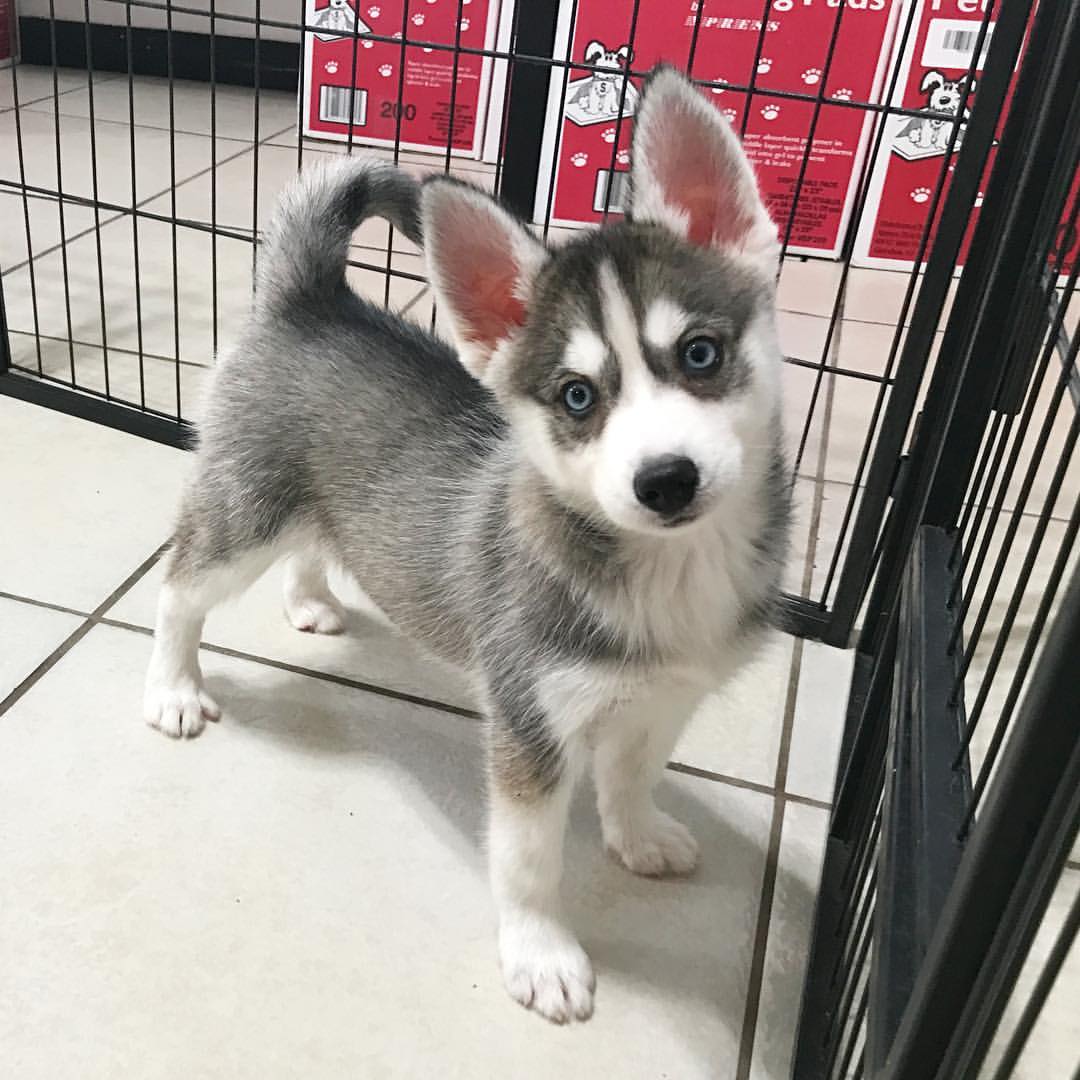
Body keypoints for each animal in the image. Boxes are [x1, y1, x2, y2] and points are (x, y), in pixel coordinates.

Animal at [143, 65, 786, 1019]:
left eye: (701, 353)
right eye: (577, 397)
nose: (665, 479)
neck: (666, 571)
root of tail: (315, 299)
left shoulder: (667, 698)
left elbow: (633, 775)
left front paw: (638, 836)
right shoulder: (530, 727)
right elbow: (528, 859)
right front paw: (541, 954)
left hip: (311, 507)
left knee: (314, 539)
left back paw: (311, 601)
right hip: (243, 511)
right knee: (179, 587)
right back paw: (174, 688)